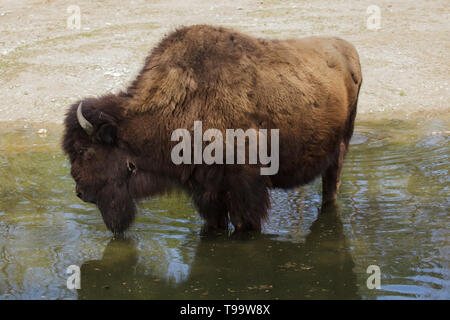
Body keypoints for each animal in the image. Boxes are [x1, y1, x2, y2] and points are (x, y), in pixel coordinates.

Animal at [62, 24, 362, 235]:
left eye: (82, 150)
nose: (79, 192)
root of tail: (349, 49)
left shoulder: (246, 189)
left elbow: (244, 223)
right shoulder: (205, 191)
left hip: (340, 149)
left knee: (331, 187)